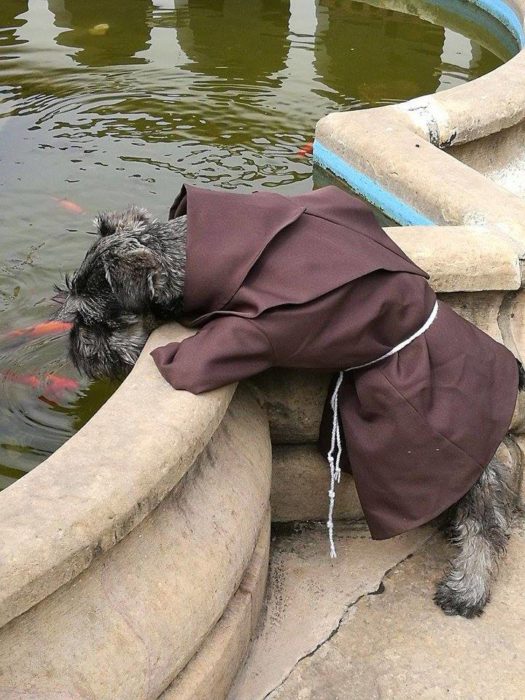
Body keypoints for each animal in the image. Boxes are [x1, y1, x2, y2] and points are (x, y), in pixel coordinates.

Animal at [55, 202, 520, 616]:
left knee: (487, 525)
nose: (77, 353)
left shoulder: (254, 333)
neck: (185, 255)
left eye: (93, 321)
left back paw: (468, 589)